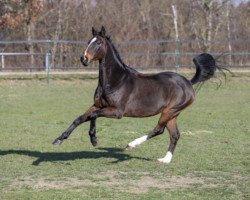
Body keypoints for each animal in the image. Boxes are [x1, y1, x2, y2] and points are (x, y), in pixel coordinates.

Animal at [53, 26, 219, 163]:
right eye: (89, 41)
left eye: (99, 42)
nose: (84, 59)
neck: (115, 81)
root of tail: (189, 83)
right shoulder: (97, 105)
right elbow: (80, 118)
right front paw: (59, 139)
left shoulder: (117, 112)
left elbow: (93, 116)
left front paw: (94, 139)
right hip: (173, 114)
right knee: (174, 135)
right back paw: (165, 159)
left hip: (169, 111)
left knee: (159, 130)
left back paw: (131, 145)